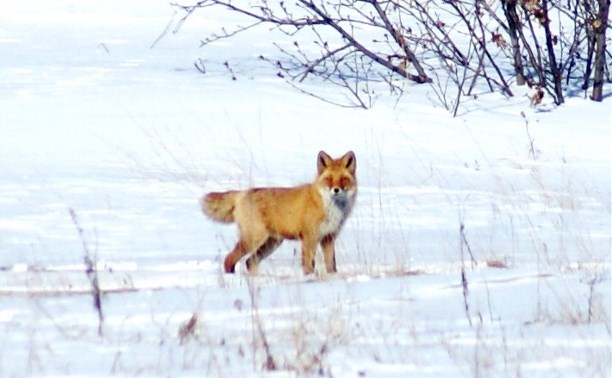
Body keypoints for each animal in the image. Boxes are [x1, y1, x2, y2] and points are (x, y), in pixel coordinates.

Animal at [202, 151, 354, 274]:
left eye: (343, 179)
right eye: (329, 179)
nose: (336, 190)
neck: (328, 207)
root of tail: (243, 193)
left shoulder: (328, 238)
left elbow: (331, 266)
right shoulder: (309, 238)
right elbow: (308, 266)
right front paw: (310, 279)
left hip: (271, 243)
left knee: (249, 262)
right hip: (254, 239)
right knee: (229, 259)